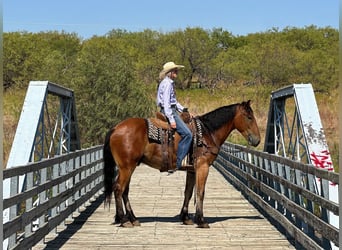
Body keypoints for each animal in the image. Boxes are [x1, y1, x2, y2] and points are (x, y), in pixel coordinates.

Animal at [103, 99, 260, 229]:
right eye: (249, 117)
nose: (257, 140)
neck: (207, 133)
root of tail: (116, 128)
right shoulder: (203, 167)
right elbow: (200, 192)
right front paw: (201, 220)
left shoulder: (192, 170)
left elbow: (188, 192)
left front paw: (185, 218)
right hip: (127, 167)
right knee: (119, 188)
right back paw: (124, 220)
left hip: (129, 167)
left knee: (125, 191)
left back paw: (133, 219)